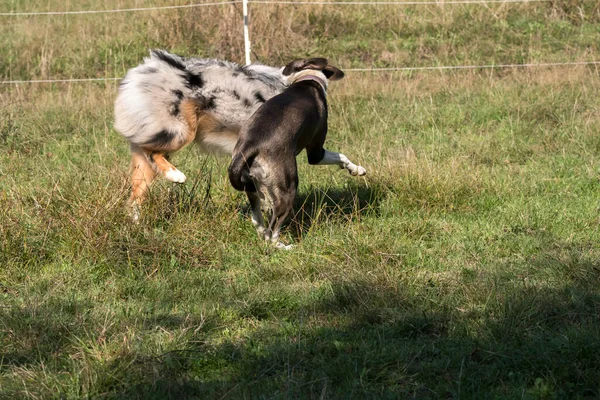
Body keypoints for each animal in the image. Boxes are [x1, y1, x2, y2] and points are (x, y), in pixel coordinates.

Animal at [229, 57, 366, 248]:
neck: (307, 79)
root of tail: (248, 146)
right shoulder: (316, 153)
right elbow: (340, 156)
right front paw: (356, 169)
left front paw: (356, 170)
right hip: (288, 186)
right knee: (272, 231)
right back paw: (285, 247)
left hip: (250, 184)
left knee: (257, 220)